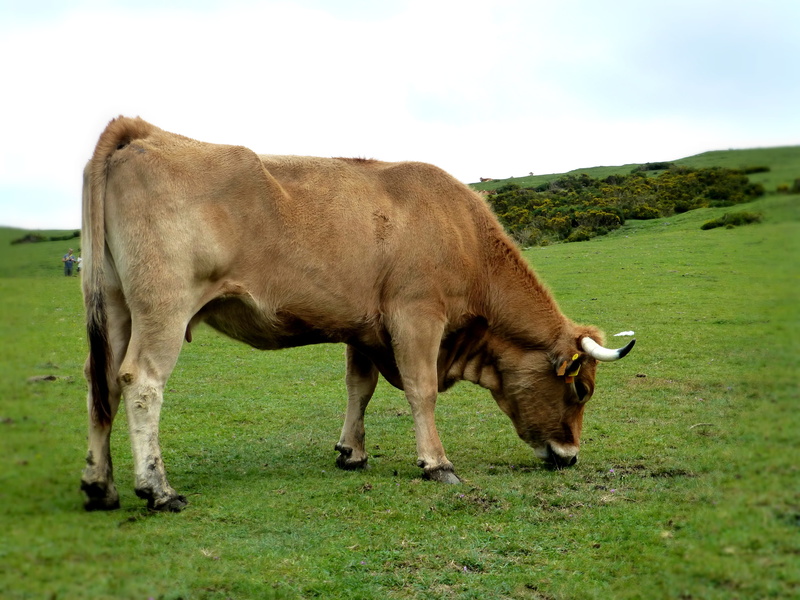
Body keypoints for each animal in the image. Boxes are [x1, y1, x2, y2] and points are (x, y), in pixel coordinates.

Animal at [80, 116, 634, 512]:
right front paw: (436, 463)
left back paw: (99, 485)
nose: (571, 457)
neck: (463, 235)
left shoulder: (363, 329)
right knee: (141, 382)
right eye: (581, 390)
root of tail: (143, 131)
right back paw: (158, 489)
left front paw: (352, 451)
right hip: (164, 307)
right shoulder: (416, 316)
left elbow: (358, 388)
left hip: (116, 307)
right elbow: (421, 390)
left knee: (102, 383)